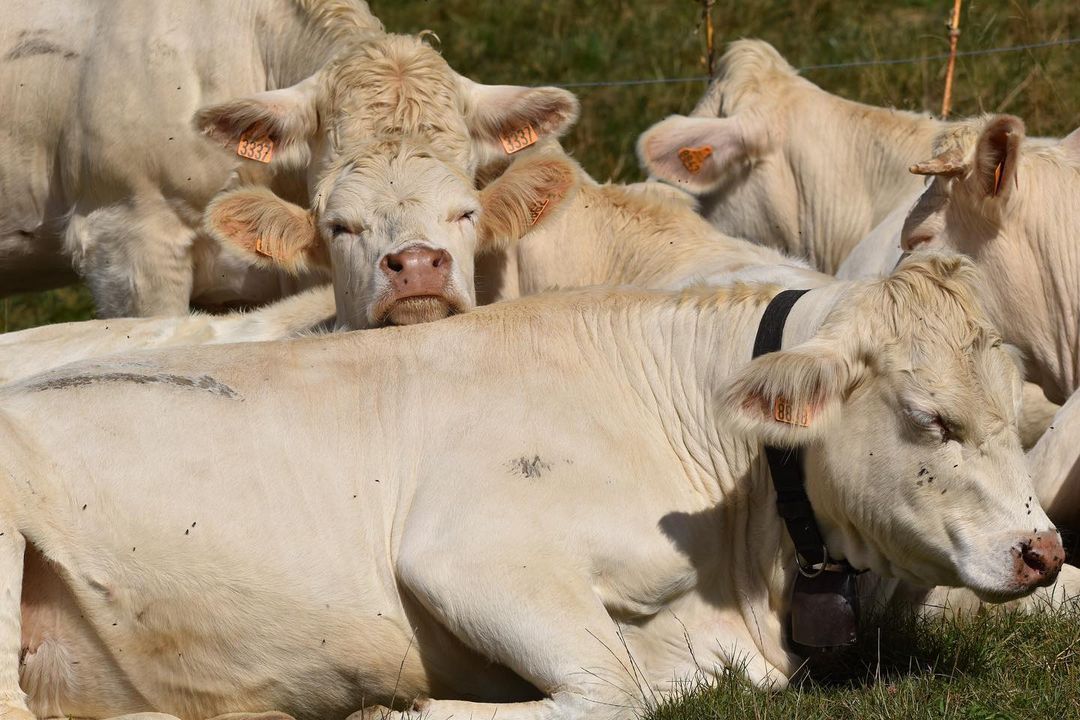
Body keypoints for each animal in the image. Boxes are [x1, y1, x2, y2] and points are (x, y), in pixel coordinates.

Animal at [0, 253, 1060, 720]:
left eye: (1017, 413)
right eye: (933, 419)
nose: (1044, 551)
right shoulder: (469, 554)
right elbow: (612, 693)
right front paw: (405, 712)